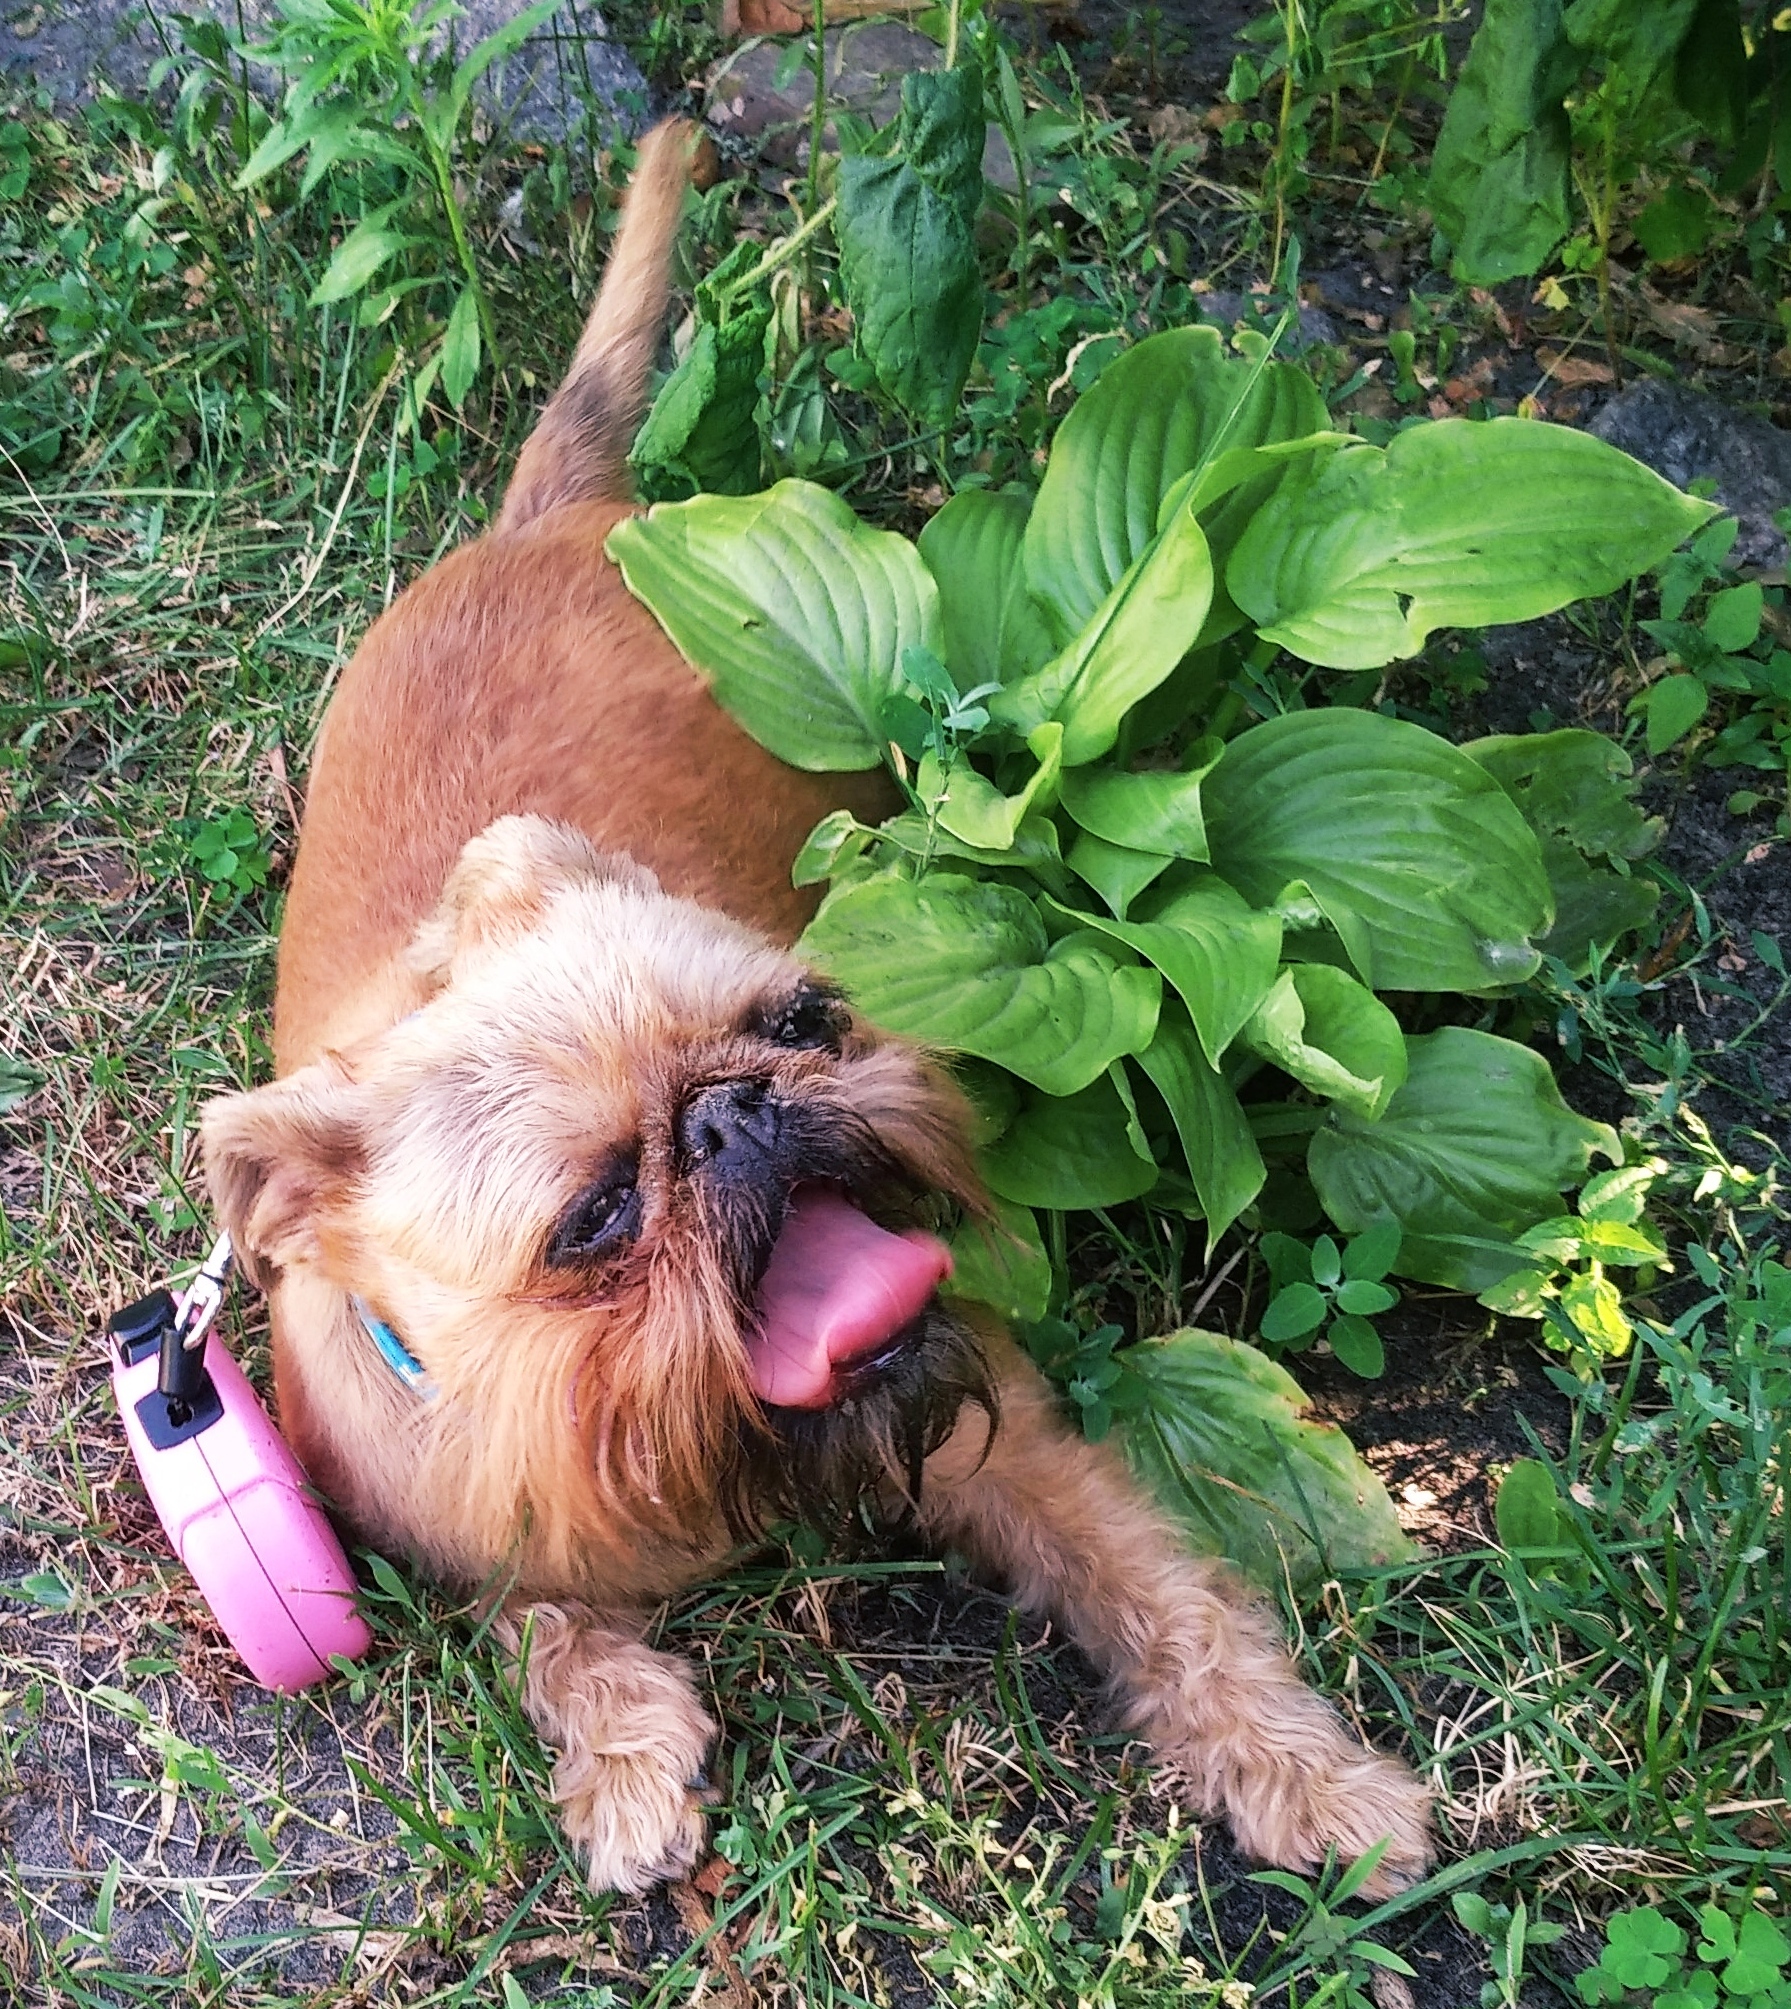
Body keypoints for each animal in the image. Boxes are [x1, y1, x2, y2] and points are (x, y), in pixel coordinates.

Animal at [198, 120, 1433, 1897]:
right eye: (592, 1219)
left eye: (800, 1023)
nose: (737, 1113)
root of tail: (562, 512)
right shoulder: (460, 1530)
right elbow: (551, 1620)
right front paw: (624, 1755)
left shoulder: (1015, 1437)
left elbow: (1165, 1594)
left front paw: (1303, 1773)